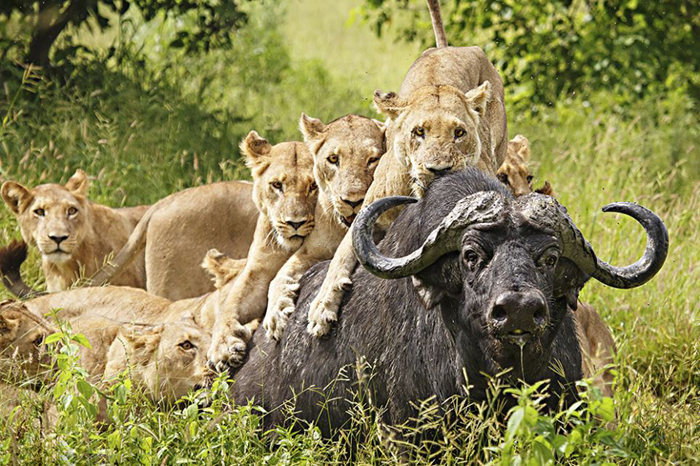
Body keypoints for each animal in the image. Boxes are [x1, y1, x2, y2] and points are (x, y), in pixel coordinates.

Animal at [262, 113, 388, 338]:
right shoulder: (310, 251)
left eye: (373, 159)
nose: (353, 201)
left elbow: (340, 259)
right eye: (333, 159)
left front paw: (323, 307)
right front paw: (275, 313)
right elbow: (279, 275)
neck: (341, 228)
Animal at [306, 0, 508, 334]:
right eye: (419, 132)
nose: (439, 169)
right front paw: (321, 308)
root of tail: (450, 48)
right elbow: (341, 256)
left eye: (459, 133)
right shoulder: (366, 213)